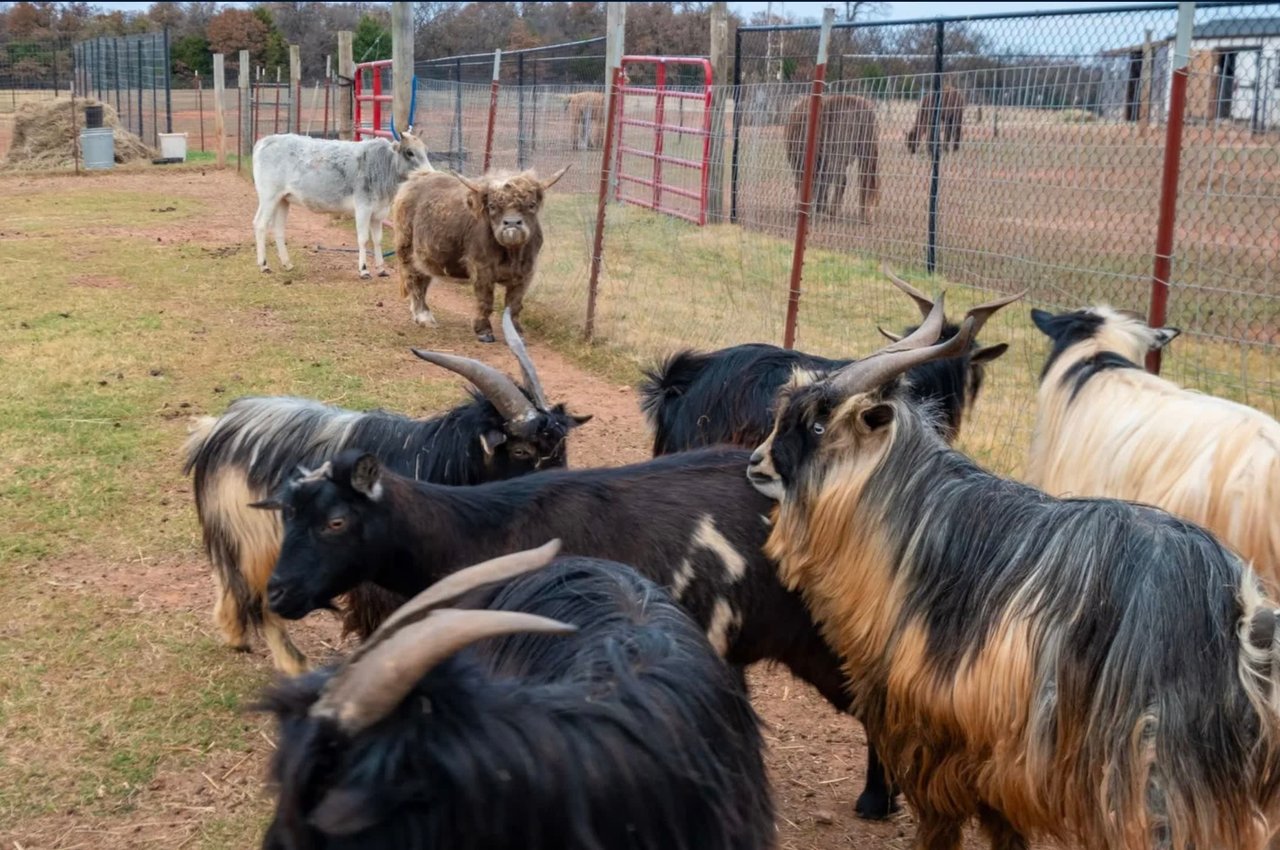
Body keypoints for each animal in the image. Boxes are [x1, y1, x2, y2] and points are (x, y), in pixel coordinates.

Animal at [181, 308, 588, 675]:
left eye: (561, 446)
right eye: (521, 451)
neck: (436, 461)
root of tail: (218, 429)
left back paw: (235, 634)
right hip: (259, 539)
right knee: (261, 596)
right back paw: (294, 665)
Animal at [747, 295, 1280, 844]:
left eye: (817, 426)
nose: (755, 463)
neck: (915, 513)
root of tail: (1240, 615)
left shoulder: (940, 735)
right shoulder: (996, 762)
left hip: (1153, 780)